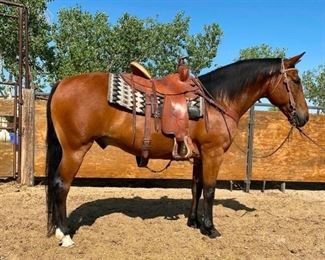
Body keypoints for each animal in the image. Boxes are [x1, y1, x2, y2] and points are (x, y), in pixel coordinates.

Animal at [45, 53, 306, 248]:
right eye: (296, 81)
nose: (303, 117)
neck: (216, 101)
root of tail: (61, 84)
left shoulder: (199, 156)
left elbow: (196, 188)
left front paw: (194, 222)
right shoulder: (213, 153)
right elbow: (210, 190)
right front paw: (210, 228)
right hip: (75, 150)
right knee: (61, 185)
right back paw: (65, 235)